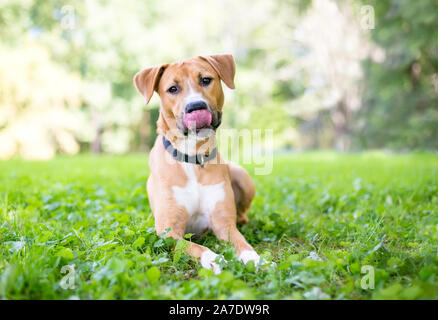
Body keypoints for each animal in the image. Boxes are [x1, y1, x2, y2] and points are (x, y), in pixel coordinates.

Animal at [133, 54, 260, 272]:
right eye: (172, 89)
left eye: (206, 80)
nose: (195, 107)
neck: (193, 157)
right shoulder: (168, 231)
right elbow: (197, 247)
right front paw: (214, 259)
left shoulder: (223, 223)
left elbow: (241, 242)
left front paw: (254, 258)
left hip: (240, 174)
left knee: (242, 216)